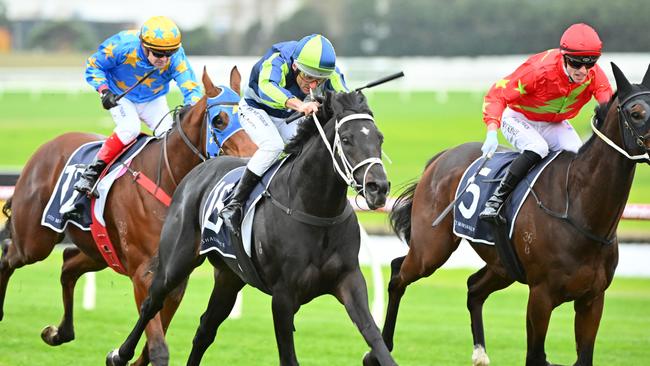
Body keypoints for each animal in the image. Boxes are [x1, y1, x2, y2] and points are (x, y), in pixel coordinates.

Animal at [0, 67, 258, 364]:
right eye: (219, 120)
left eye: (250, 117)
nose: (251, 159)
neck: (168, 179)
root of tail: (49, 144)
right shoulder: (143, 273)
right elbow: (158, 346)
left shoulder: (175, 280)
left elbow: (152, 338)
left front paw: (122, 355)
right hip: (35, 241)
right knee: (8, 255)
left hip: (99, 250)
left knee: (67, 264)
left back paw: (59, 333)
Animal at [106, 89, 394, 366]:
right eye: (346, 139)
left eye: (380, 138)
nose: (378, 187)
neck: (315, 211)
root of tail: (201, 167)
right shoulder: (283, 296)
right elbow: (288, 357)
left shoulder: (349, 280)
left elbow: (375, 337)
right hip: (176, 262)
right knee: (151, 302)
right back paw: (118, 355)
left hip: (230, 276)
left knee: (205, 329)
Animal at [364, 63, 648, 366]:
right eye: (636, 113)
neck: (579, 210)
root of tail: (441, 157)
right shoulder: (541, 295)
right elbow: (535, 355)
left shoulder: (592, 299)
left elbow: (581, 357)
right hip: (431, 250)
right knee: (398, 273)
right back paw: (379, 350)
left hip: (502, 264)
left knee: (473, 288)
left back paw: (480, 353)